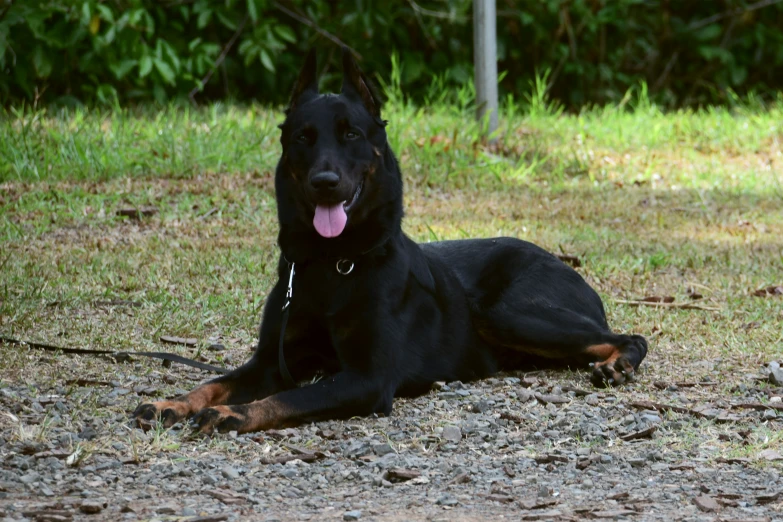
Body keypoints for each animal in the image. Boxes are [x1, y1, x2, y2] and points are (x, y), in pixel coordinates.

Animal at [133, 48, 648, 430]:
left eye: (351, 134)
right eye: (303, 137)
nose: (324, 182)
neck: (333, 262)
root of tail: (562, 262)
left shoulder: (367, 377)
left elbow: (293, 399)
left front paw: (234, 413)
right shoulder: (271, 364)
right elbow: (213, 382)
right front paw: (173, 402)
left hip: (507, 312)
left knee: (631, 335)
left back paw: (618, 364)